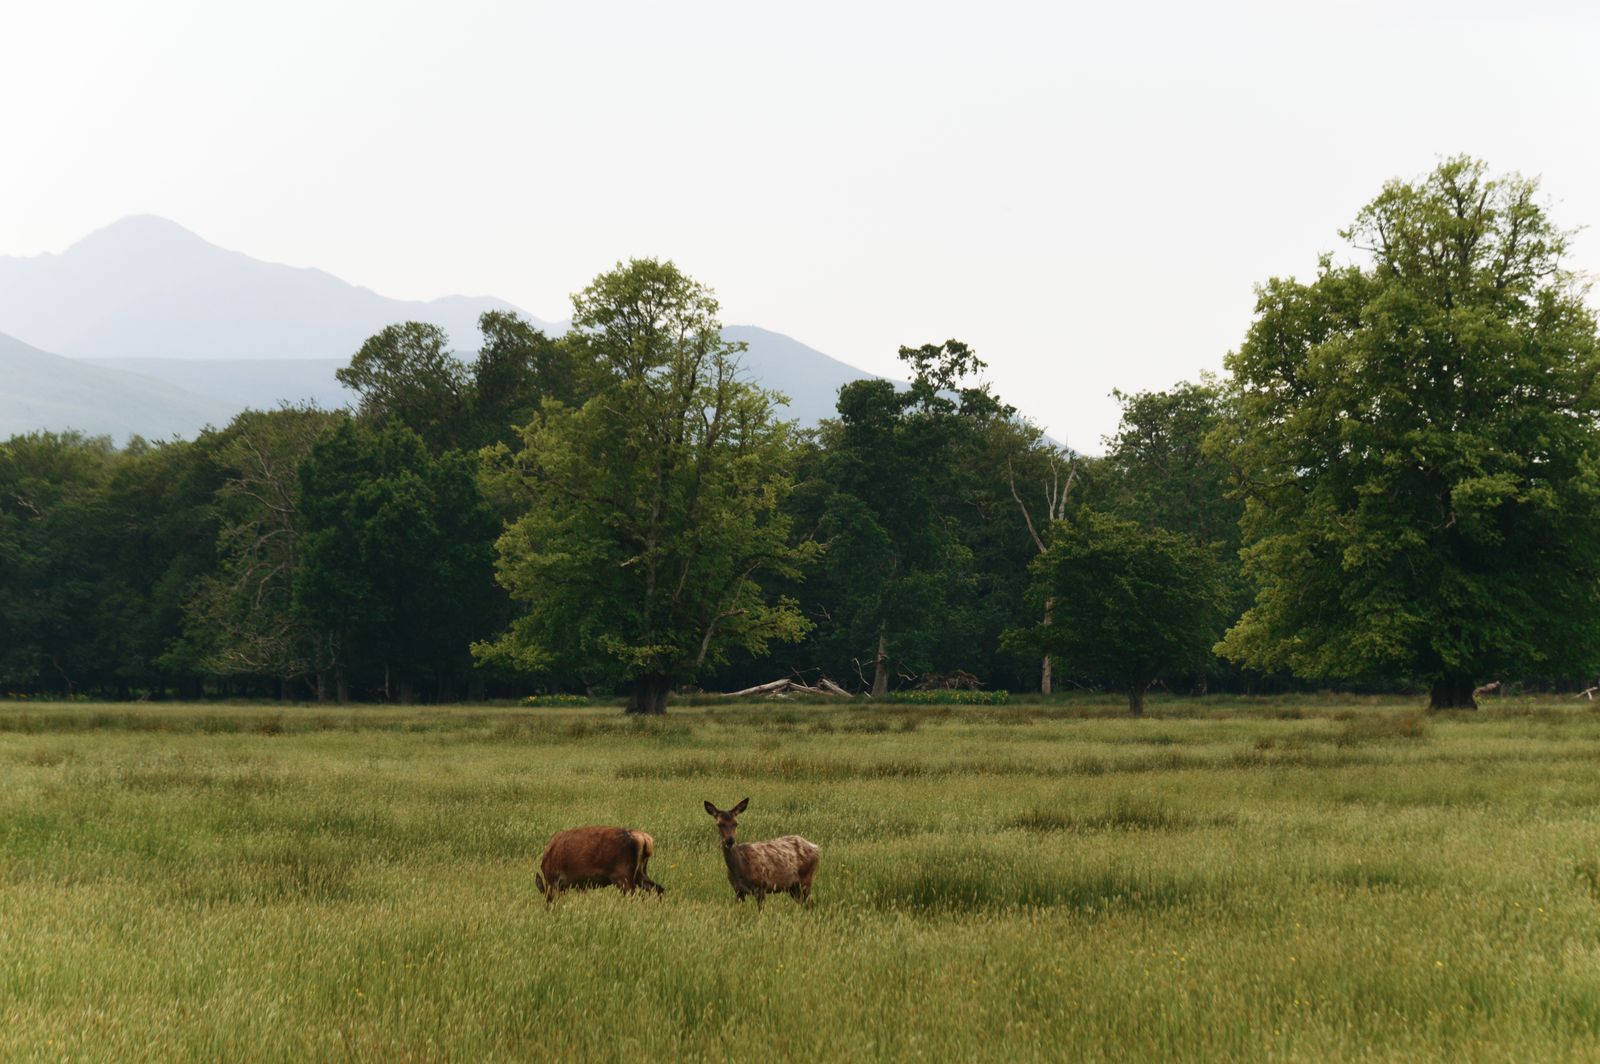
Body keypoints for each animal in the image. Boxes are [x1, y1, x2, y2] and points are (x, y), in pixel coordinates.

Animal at [535, 825, 664, 904]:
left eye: (547, 901)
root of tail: (646, 839)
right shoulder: (581, 884)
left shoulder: (556, 881)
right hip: (640, 872)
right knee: (658, 888)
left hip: (623, 875)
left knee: (637, 896)